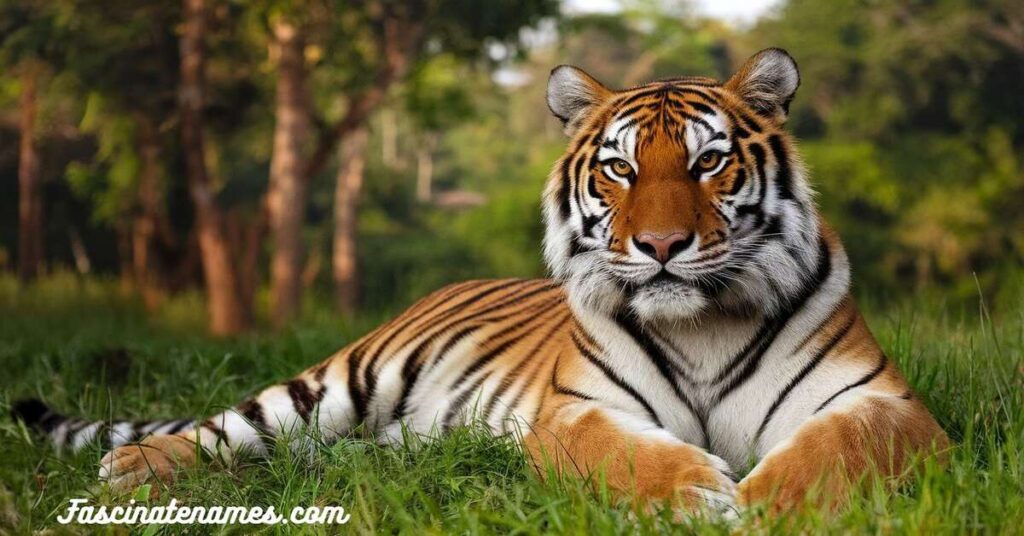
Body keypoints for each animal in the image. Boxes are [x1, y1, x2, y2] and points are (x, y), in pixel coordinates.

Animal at [12, 50, 946, 516]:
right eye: (620, 168)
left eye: (708, 163)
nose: (660, 245)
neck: (701, 322)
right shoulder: (577, 412)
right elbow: (624, 453)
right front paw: (699, 491)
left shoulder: (889, 404)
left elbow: (839, 447)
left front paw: (771, 501)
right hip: (338, 382)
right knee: (227, 429)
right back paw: (133, 468)